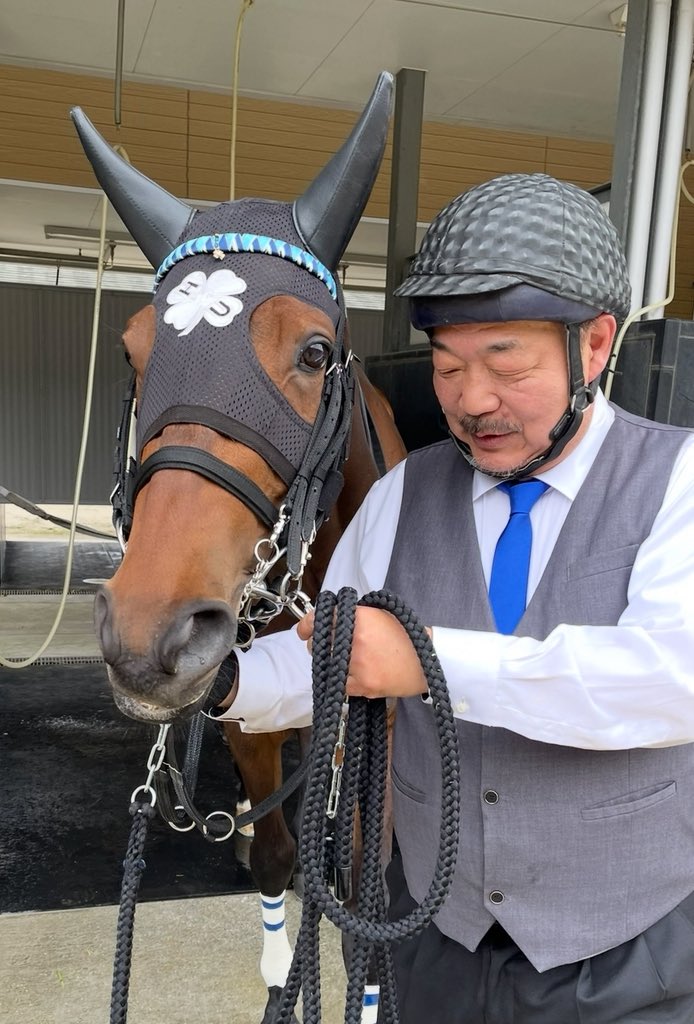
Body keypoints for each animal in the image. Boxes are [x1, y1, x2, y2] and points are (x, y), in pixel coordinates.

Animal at [71, 72, 407, 1023]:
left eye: (316, 351)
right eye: (133, 351)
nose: (148, 634)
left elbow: (362, 884)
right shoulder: (246, 713)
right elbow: (280, 853)